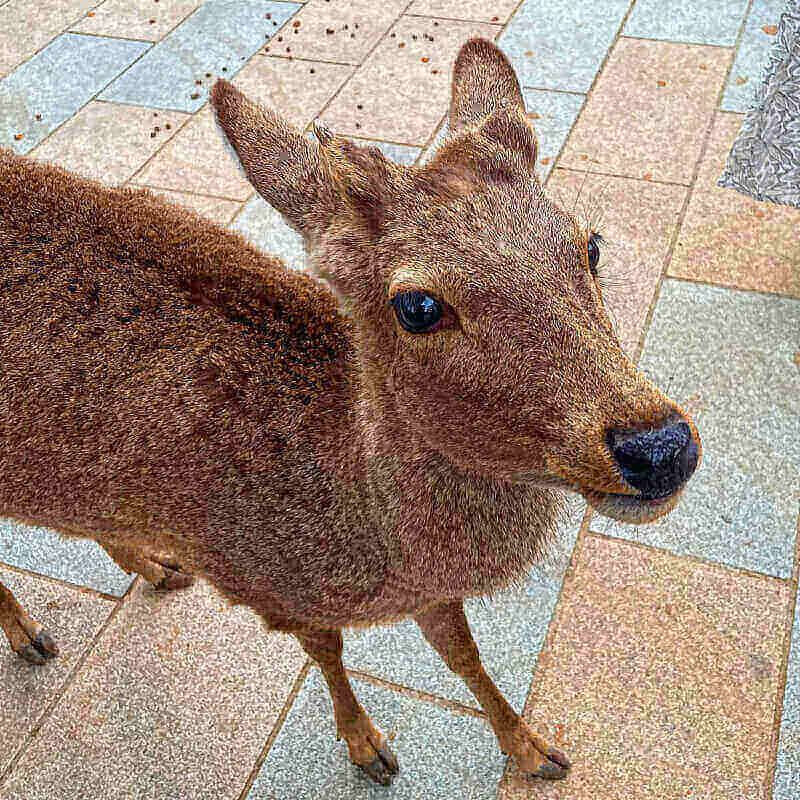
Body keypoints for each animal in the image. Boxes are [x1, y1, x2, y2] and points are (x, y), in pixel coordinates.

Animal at [0, 38, 701, 786]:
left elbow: (463, 652)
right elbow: (329, 654)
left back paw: (152, 567)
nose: (659, 446)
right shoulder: (267, 586)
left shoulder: (424, 585)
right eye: (417, 305)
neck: (361, 544)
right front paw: (368, 748)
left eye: (589, 245)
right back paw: (32, 635)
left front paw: (533, 748)